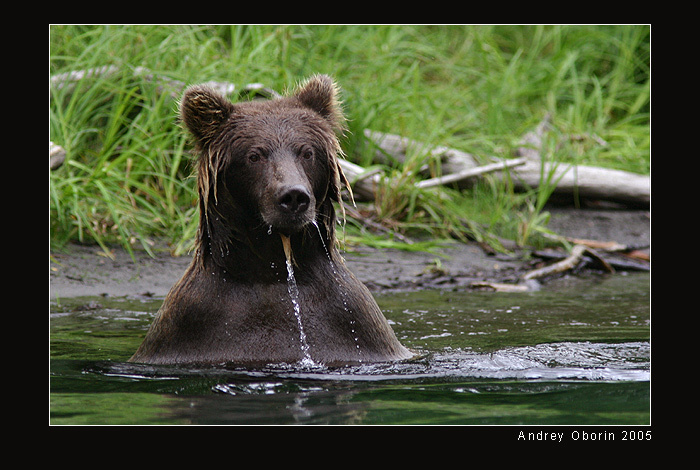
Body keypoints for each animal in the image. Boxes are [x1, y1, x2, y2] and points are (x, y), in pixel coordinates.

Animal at [129, 74, 412, 366]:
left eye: (307, 152)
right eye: (254, 155)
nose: (294, 197)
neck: (271, 273)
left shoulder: (352, 324)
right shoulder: (192, 324)